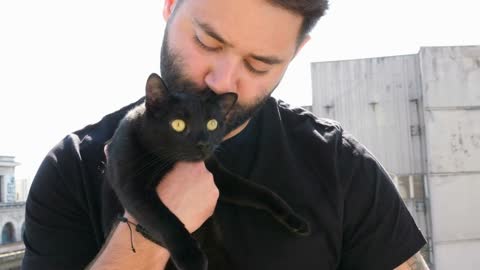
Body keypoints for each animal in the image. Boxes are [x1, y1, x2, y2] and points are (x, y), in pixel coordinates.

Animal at [103, 74, 310, 270]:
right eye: (178, 124)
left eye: (212, 124)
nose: (203, 143)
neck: (166, 160)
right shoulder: (131, 187)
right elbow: (164, 218)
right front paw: (191, 258)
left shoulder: (218, 176)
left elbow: (259, 191)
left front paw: (294, 218)